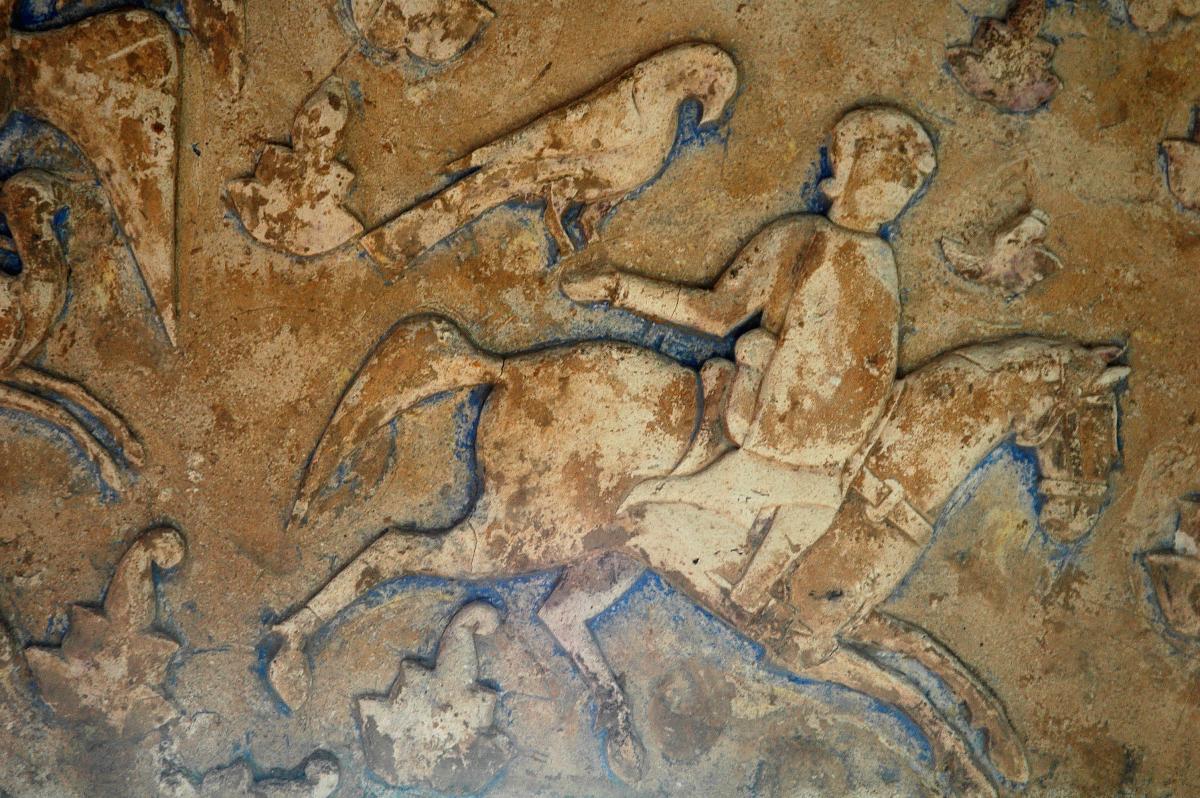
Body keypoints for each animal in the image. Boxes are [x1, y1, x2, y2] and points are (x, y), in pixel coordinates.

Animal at [265, 314, 1123, 792]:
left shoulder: (842, 626)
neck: (886, 473)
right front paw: (969, 772)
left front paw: (1006, 746)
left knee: (557, 614)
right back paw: (287, 661)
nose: (1079, 518)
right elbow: (912, 694)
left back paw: (621, 739)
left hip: (613, 554)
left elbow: (936, 659)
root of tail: (510, 368)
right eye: (1093, 425)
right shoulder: (805, 649)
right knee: (388, 553)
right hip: (518, 533)